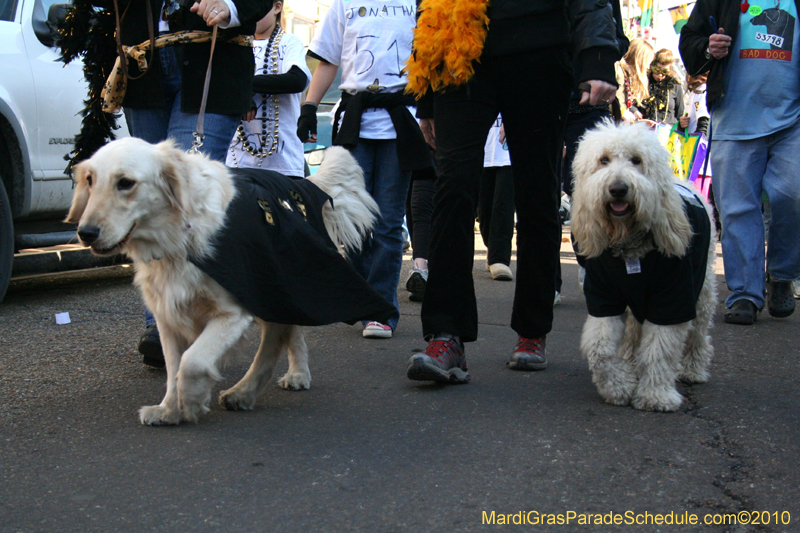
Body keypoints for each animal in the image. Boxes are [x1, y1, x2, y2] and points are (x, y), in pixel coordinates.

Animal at [65, 139, 388, 426]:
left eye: (126, 182)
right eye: (90, 180)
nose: (86, 233)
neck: (178, 234)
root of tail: (305, 183)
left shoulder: (232, 312)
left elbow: (192, 361)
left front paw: (192, 400)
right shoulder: (166, 313)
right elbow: (173, 365)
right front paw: (168, 409)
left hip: (274, 284)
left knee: (274, 339)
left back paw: (247, 390)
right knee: (289, 332)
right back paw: (280, 380)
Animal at [568, 120, 720, 412]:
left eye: (636, 160)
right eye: (603, 160)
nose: (618, 188)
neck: (630, 246)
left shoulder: (672, 298)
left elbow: (659, 350)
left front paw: (655, 396)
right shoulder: (604, 297)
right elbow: (599, 349)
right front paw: (619, 386)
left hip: (702, 291)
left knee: (698, 334)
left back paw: (693, 370)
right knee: (632, 334)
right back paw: (630, 362)